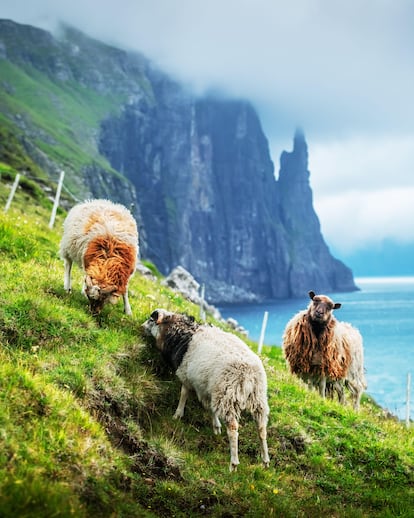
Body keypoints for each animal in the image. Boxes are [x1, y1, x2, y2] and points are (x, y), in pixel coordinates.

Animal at [142, 308, 272, 476]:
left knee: (233, 429)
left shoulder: (187, 375)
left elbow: (184, 394)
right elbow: (210, 407)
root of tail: (249, 374)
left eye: (151, 320)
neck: (182, 334)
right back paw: (265, 461)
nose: (141, 326)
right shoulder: (207, 387)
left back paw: (233, 463)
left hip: (227, 395)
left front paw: (178, 414)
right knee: (262, 429)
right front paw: (216, 427)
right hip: (257, 399)